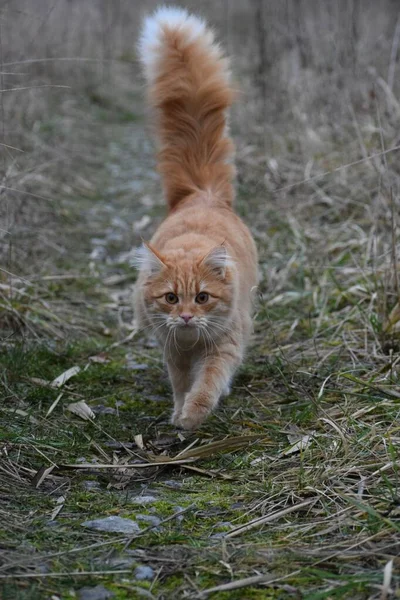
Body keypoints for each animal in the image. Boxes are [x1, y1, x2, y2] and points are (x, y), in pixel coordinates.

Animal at [134, 3, 258, 426]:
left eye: (202, 298)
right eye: (172, 298)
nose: (187, 317)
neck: (191, 342)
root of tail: (202, 193)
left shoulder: (224, 344)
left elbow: (207, 383)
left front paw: (193, 415)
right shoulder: (173, 350)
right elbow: (180, 383)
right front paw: (178, 411)